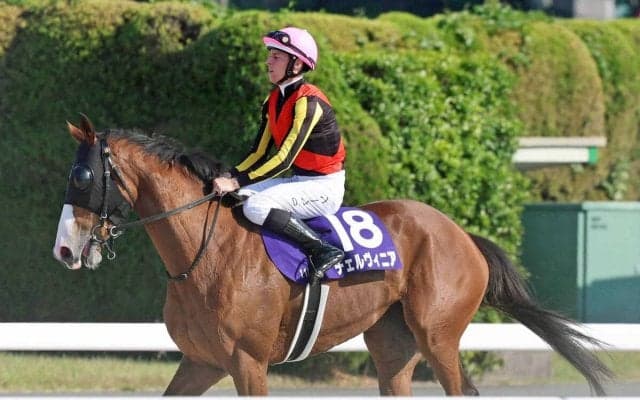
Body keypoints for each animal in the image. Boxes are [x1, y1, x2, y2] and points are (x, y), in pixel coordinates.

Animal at [52, 115, 612, 396]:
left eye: (82, 175)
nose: (64, 249)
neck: (204, 256)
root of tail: (461, 235)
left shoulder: (248, 363)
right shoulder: (201, 361)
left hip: (438, 335)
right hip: (393, 346)